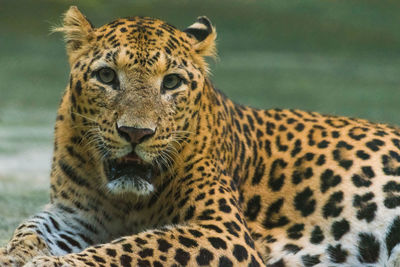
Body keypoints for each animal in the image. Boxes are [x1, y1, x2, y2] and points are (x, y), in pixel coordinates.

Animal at [2, 5, 400, 266]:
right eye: (106, 76)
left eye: (171, 82)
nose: (135, 132)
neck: (127, 202)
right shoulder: (76, 214)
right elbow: (30, 229)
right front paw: (14, 255)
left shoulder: (222, 230)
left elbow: (136, 247)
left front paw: (48, 264)